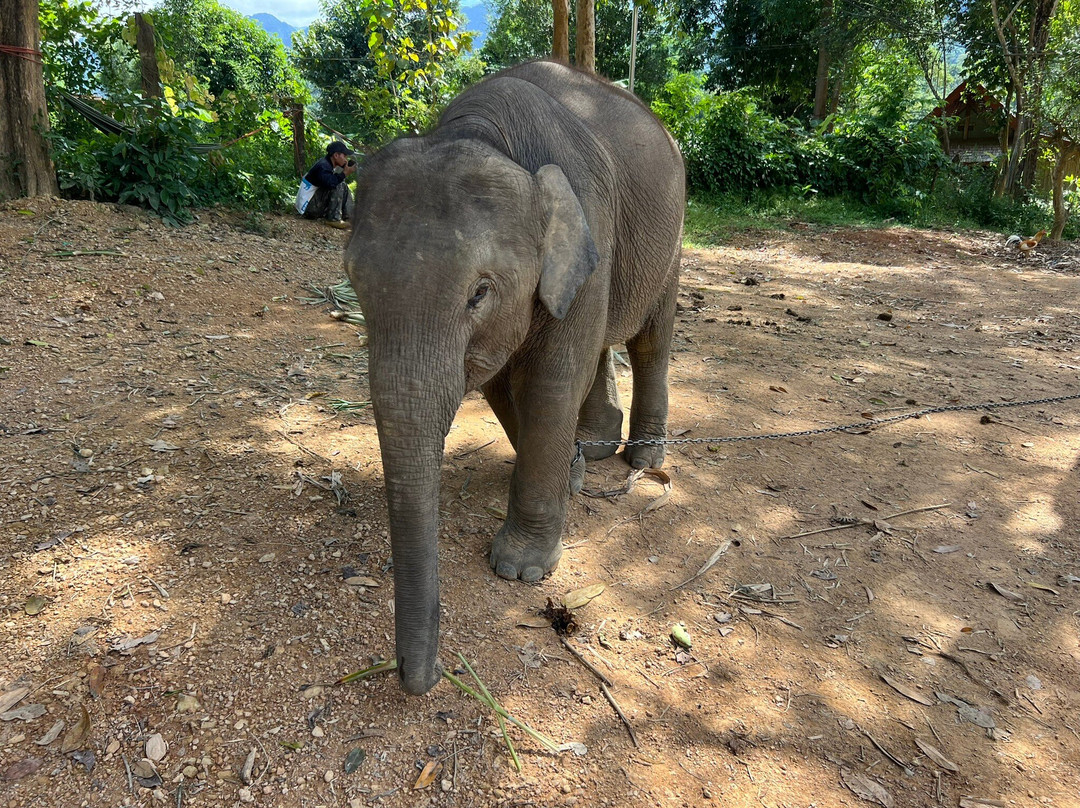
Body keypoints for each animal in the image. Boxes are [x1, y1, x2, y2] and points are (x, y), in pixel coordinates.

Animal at [344, 60, 685, 695]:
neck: (483, 132)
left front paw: (521, 569)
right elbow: (500, 384)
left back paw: (643, 457)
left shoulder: (590, 227)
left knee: (651, 339)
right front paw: (572, 474)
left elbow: (551, 382)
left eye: (479, 293)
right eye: (353, 282)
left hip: (670, 237)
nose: (421, 677)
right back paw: (595, 446)